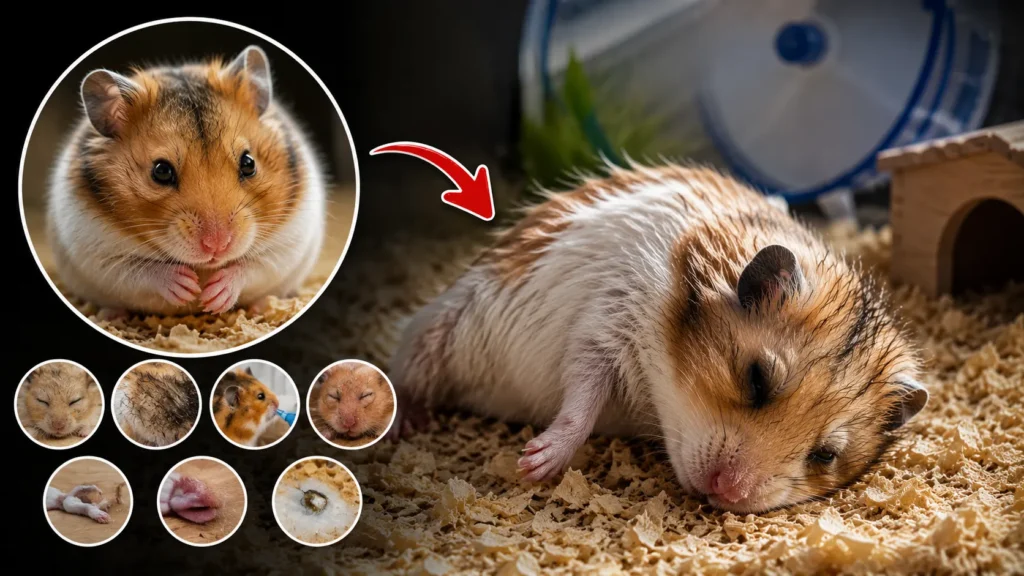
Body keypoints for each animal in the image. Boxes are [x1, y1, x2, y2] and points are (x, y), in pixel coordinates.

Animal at [46, 45, 326, 315]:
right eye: (161, 171)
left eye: (249, 163)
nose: (217, 246)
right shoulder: (97, 253)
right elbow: (140, 271)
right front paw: (188, 288)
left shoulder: (291, 241)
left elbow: (254, 266)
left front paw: (214, 296)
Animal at [388, 164, 930, 513]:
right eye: (756, 379)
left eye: (825, 455)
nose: (726, 493)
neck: (656, 392)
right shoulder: (603, 326)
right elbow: (580, 402)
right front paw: (532, 465)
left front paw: (532, 463)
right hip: (435, 329)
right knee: (404, 373)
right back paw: (404, 425)